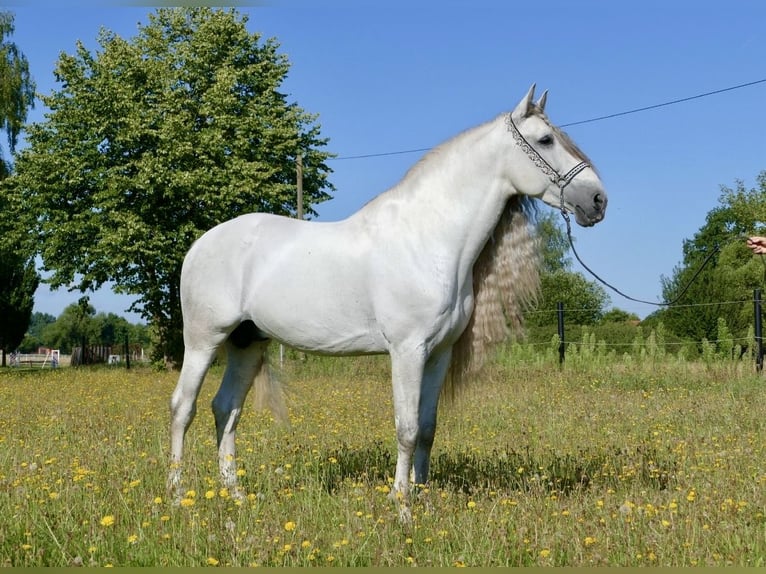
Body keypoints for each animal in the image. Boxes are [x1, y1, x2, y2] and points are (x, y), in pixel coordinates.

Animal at [167, 85, 608, 518]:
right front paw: (402, 508)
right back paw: (175, 495)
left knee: (226, 409)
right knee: (183, 407)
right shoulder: (407, 350)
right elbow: (406, 428)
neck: (428, 239)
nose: (598, 201)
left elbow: (427, 429)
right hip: (204, 340)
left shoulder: (439, 354)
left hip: (247, 343)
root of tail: (201, 245)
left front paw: (423, 499)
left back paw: (235, 495)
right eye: (546, 139)